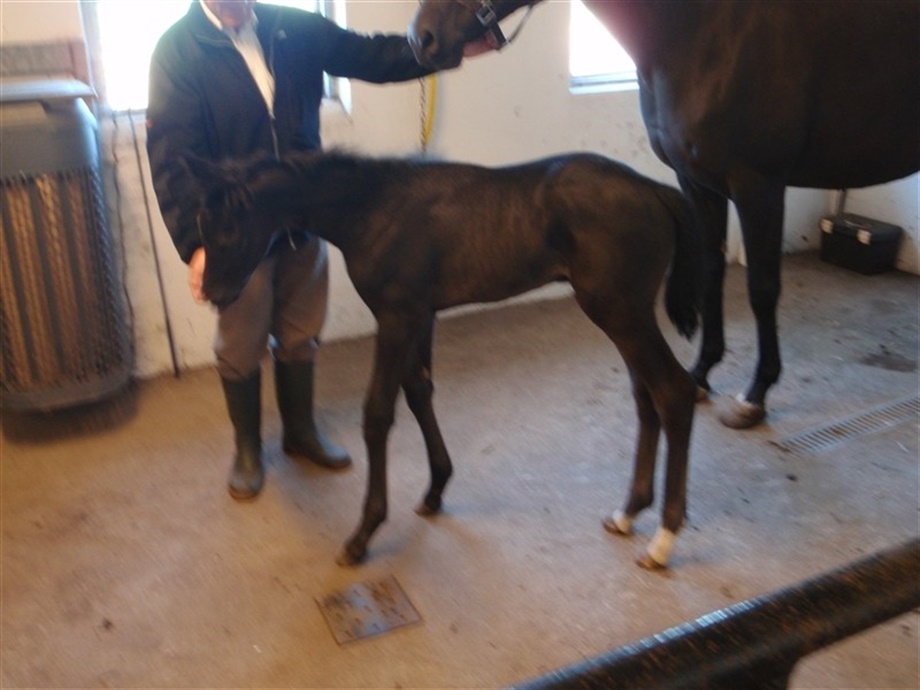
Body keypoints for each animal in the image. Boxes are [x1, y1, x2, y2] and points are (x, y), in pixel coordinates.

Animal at [187, 149, 700, 569]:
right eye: (201, 224)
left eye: (229, 230)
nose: (211, 293)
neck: (373, 209)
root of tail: (654, 189)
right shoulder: (421, 315)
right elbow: (419, 391)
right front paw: (435, 490)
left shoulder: (396, 317)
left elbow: (378, 414)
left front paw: (362, 535)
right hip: (624, 314)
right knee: (646, 396)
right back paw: (628, 513)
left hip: (619, 311)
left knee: (674, 391)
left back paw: (663, 540)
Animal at [408, 0, 920, 428]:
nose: (422, 38)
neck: (704, 30)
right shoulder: (699, 183)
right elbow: (711, 275)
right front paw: (701, 373)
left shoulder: (759, 184)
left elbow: (761, 288)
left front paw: (755, 394)